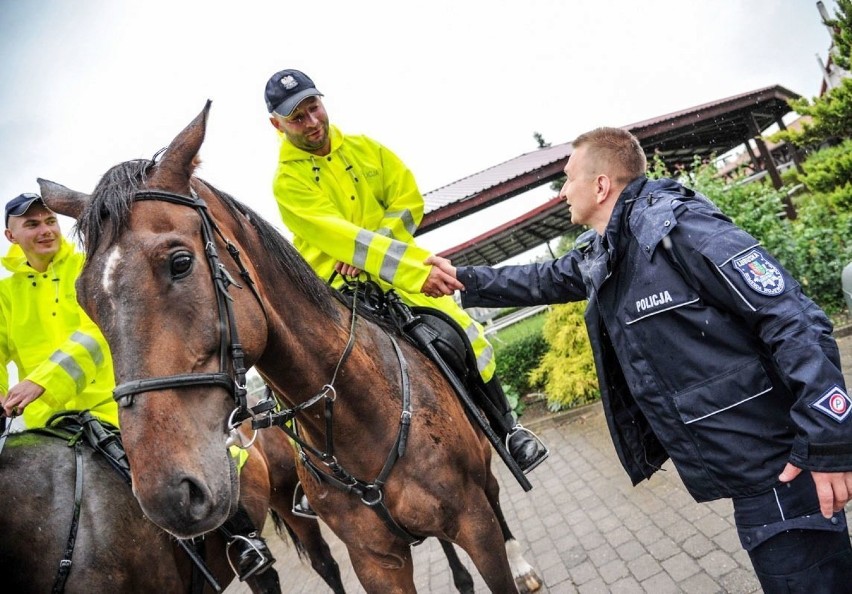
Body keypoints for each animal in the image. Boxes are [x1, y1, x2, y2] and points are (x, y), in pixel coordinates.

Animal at [38, 103, 540, 592]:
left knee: (498, 497)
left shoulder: (474, 525)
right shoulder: (377, 562)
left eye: (180, 262)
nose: (168, 494)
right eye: (85, 299)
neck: (357, 417)